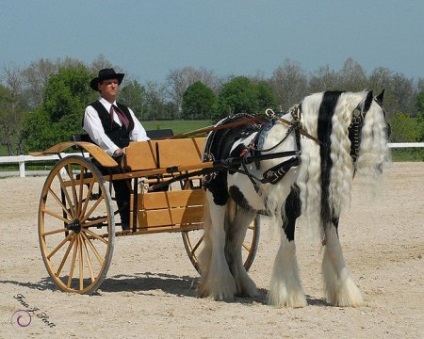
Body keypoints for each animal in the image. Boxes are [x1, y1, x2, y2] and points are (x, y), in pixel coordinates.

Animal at [197, 90, 390, 308]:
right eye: (370, 130)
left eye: (387, 129)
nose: (379, 165)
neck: (300, 150)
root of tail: (221, 126)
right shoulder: (287, 210)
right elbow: (289, 247)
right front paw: (290, 296)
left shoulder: (330, 208)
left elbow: (334, 247)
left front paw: (345, 294)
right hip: (217, 196)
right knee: (219, 237)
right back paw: (221, 286)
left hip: (246, 204)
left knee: (234, 241)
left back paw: (243, 285)